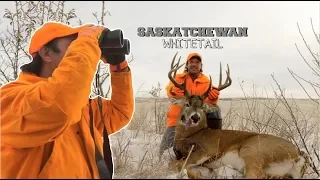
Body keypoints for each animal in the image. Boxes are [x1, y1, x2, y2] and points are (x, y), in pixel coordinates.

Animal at [168, 53, 310, 179]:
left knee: (255, 175)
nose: (195, 117)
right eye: (187, 104)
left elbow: (176, 164)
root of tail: (299, 155)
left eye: (203, 107)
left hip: (252, 150)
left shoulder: (208, 149)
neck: (188, 136)